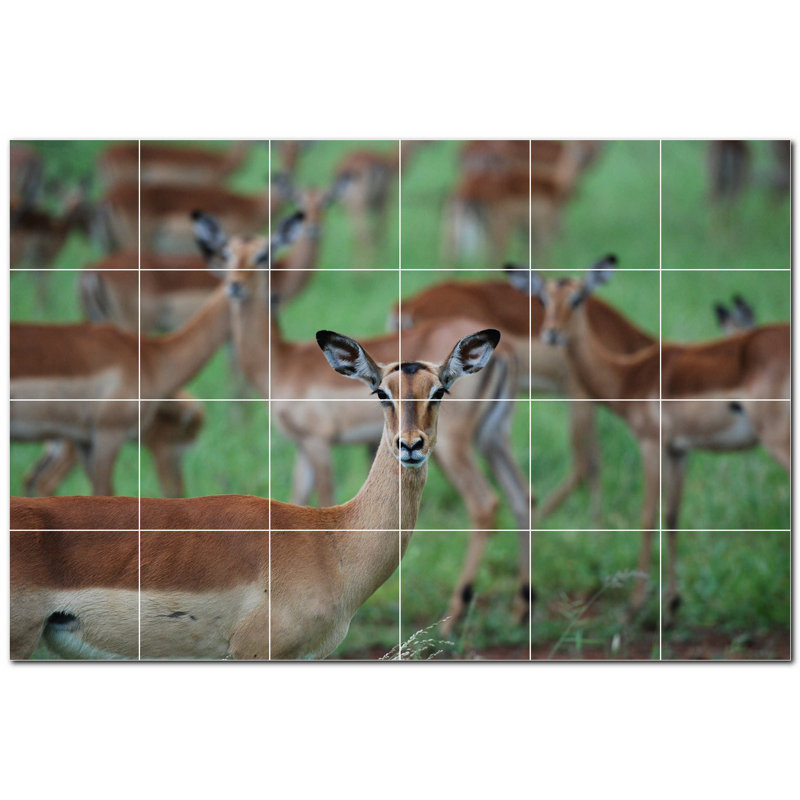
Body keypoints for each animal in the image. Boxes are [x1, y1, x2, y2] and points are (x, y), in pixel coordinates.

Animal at [192, 212, 534, 634]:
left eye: (263, 254)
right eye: (226, 254)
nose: (235, 286)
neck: (283, 363)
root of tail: (507, 353)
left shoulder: (319, 443)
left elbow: (324, 499)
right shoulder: (302, 448)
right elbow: (297, 500)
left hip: (456, 447)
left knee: (485, 504)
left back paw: (454, 616)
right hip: (494, 438)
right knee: (523, 497)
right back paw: (521, 608)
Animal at [527, 256, 789, 622]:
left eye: (577, 298)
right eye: (542, 299)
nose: (551, 333)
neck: (629, 377)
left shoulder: (651, 444)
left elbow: (647, 516)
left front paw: (635, 605)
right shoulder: (680, 450)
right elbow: (673, 517)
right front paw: (673, 603)